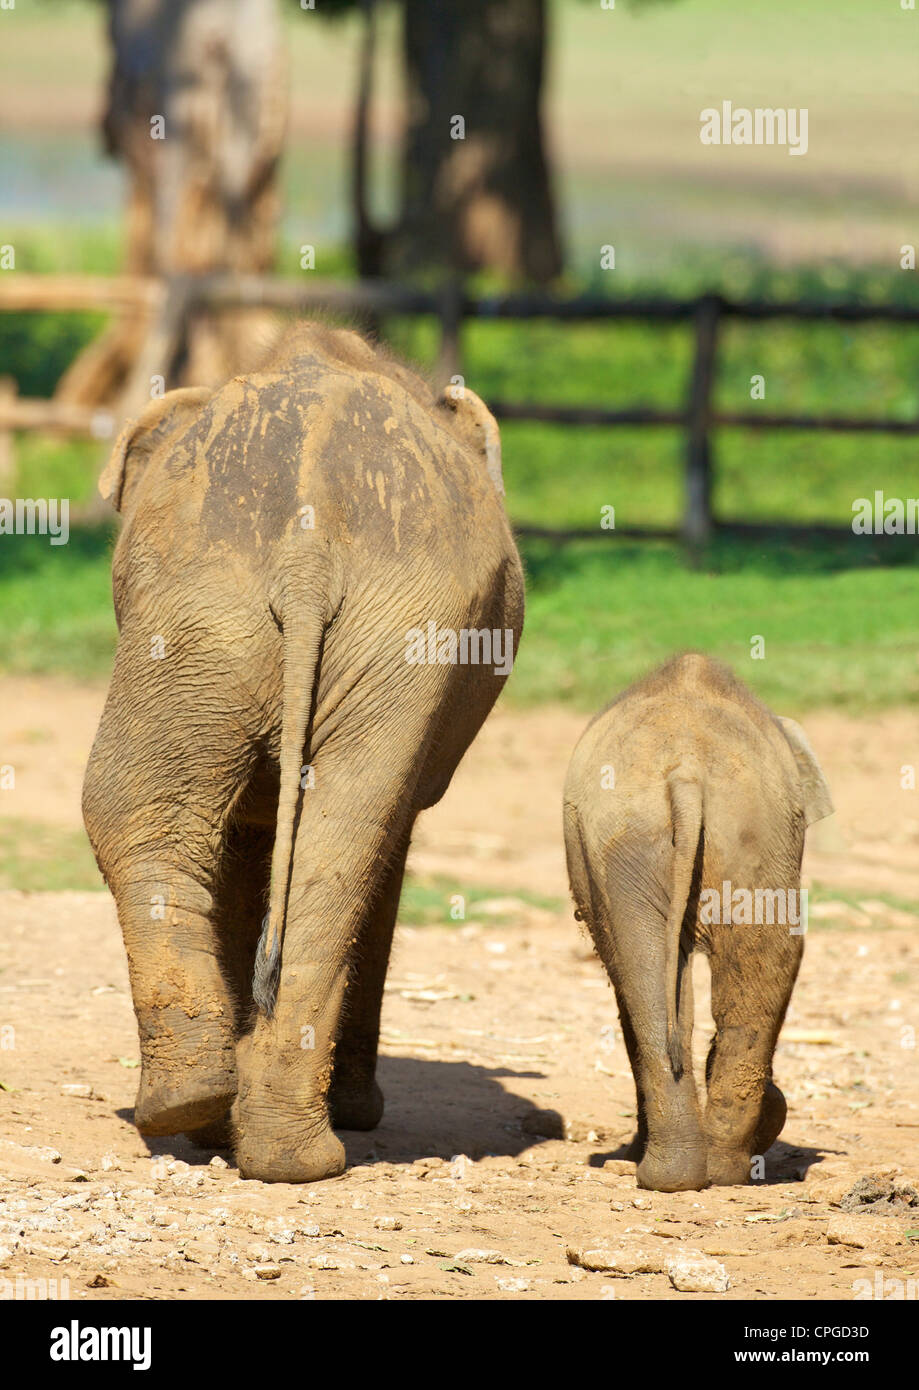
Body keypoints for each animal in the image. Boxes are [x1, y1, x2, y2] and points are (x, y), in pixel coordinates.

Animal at [82, 322, 522, 1184]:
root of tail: (307, 546)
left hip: (217, 615)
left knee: (163, 816)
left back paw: (217, 1121)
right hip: (312, 623)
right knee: (336, 840)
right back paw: (268, 1136)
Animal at [558, 653, 834, 1195]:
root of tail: (686, 770)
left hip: (643, 842)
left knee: (646, 976)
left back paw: (671, 1173)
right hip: (746, 835)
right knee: (759, 963)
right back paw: (715, 1173)